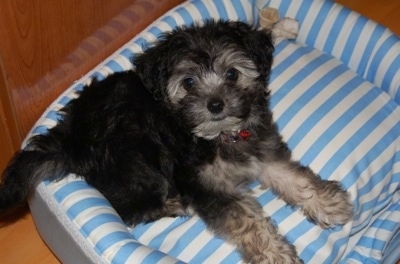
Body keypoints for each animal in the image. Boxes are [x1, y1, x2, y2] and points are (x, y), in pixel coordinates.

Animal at [0, 20, 352, 262]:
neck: (214, 135)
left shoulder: (260, 149)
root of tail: (69, 139)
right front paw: (275, 254)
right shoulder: (205, 186)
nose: (215, 104)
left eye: (232, 74)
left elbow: (291, 176)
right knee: (127, 206)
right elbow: (247, 223)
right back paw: (170, 203)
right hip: (137, 162)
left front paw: (328, 203)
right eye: (188, 83)